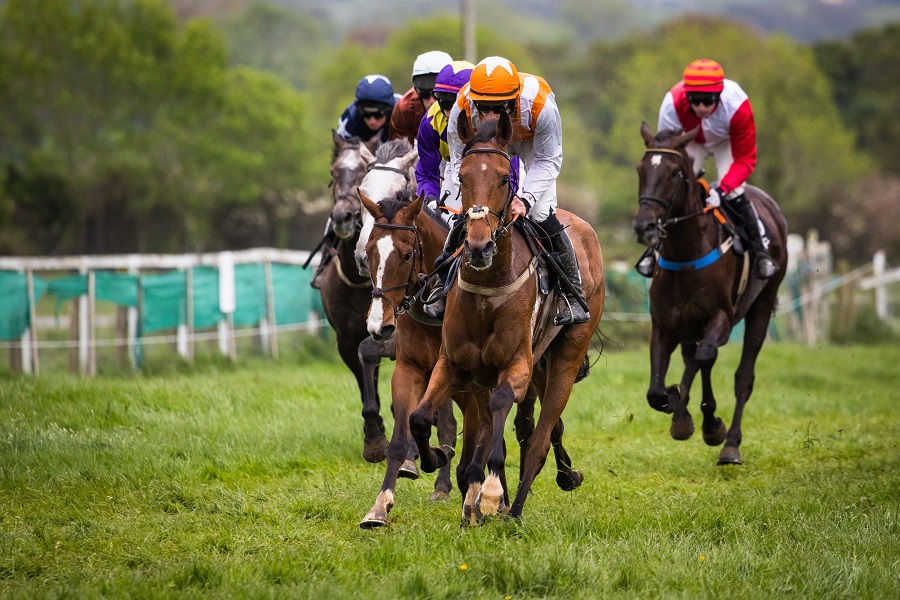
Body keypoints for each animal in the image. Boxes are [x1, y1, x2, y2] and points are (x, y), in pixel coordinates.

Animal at [408, 111, 604, 520]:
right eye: (464, 178)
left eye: (503, 178)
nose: (479, 247)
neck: (489, 290)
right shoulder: (452, 364)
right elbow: (419, 417)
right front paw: (434, 458)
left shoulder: (517, 365)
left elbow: (502, 407)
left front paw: (492, 492)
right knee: (533, 429)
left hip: (566, 354)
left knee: (539, 440)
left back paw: (514, 508)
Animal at [632, 122, 788, 464]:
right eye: (640, 168)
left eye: (675, 172)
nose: (644, 226)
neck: (685, 255)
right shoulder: (663, 326)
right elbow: (655, 391)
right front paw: (679, 407)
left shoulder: (721, 320)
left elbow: (704, 359)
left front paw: (699, 420)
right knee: (695, 360)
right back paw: (693, 417)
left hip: (761, 305)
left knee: (741, 376)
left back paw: (729, 443)